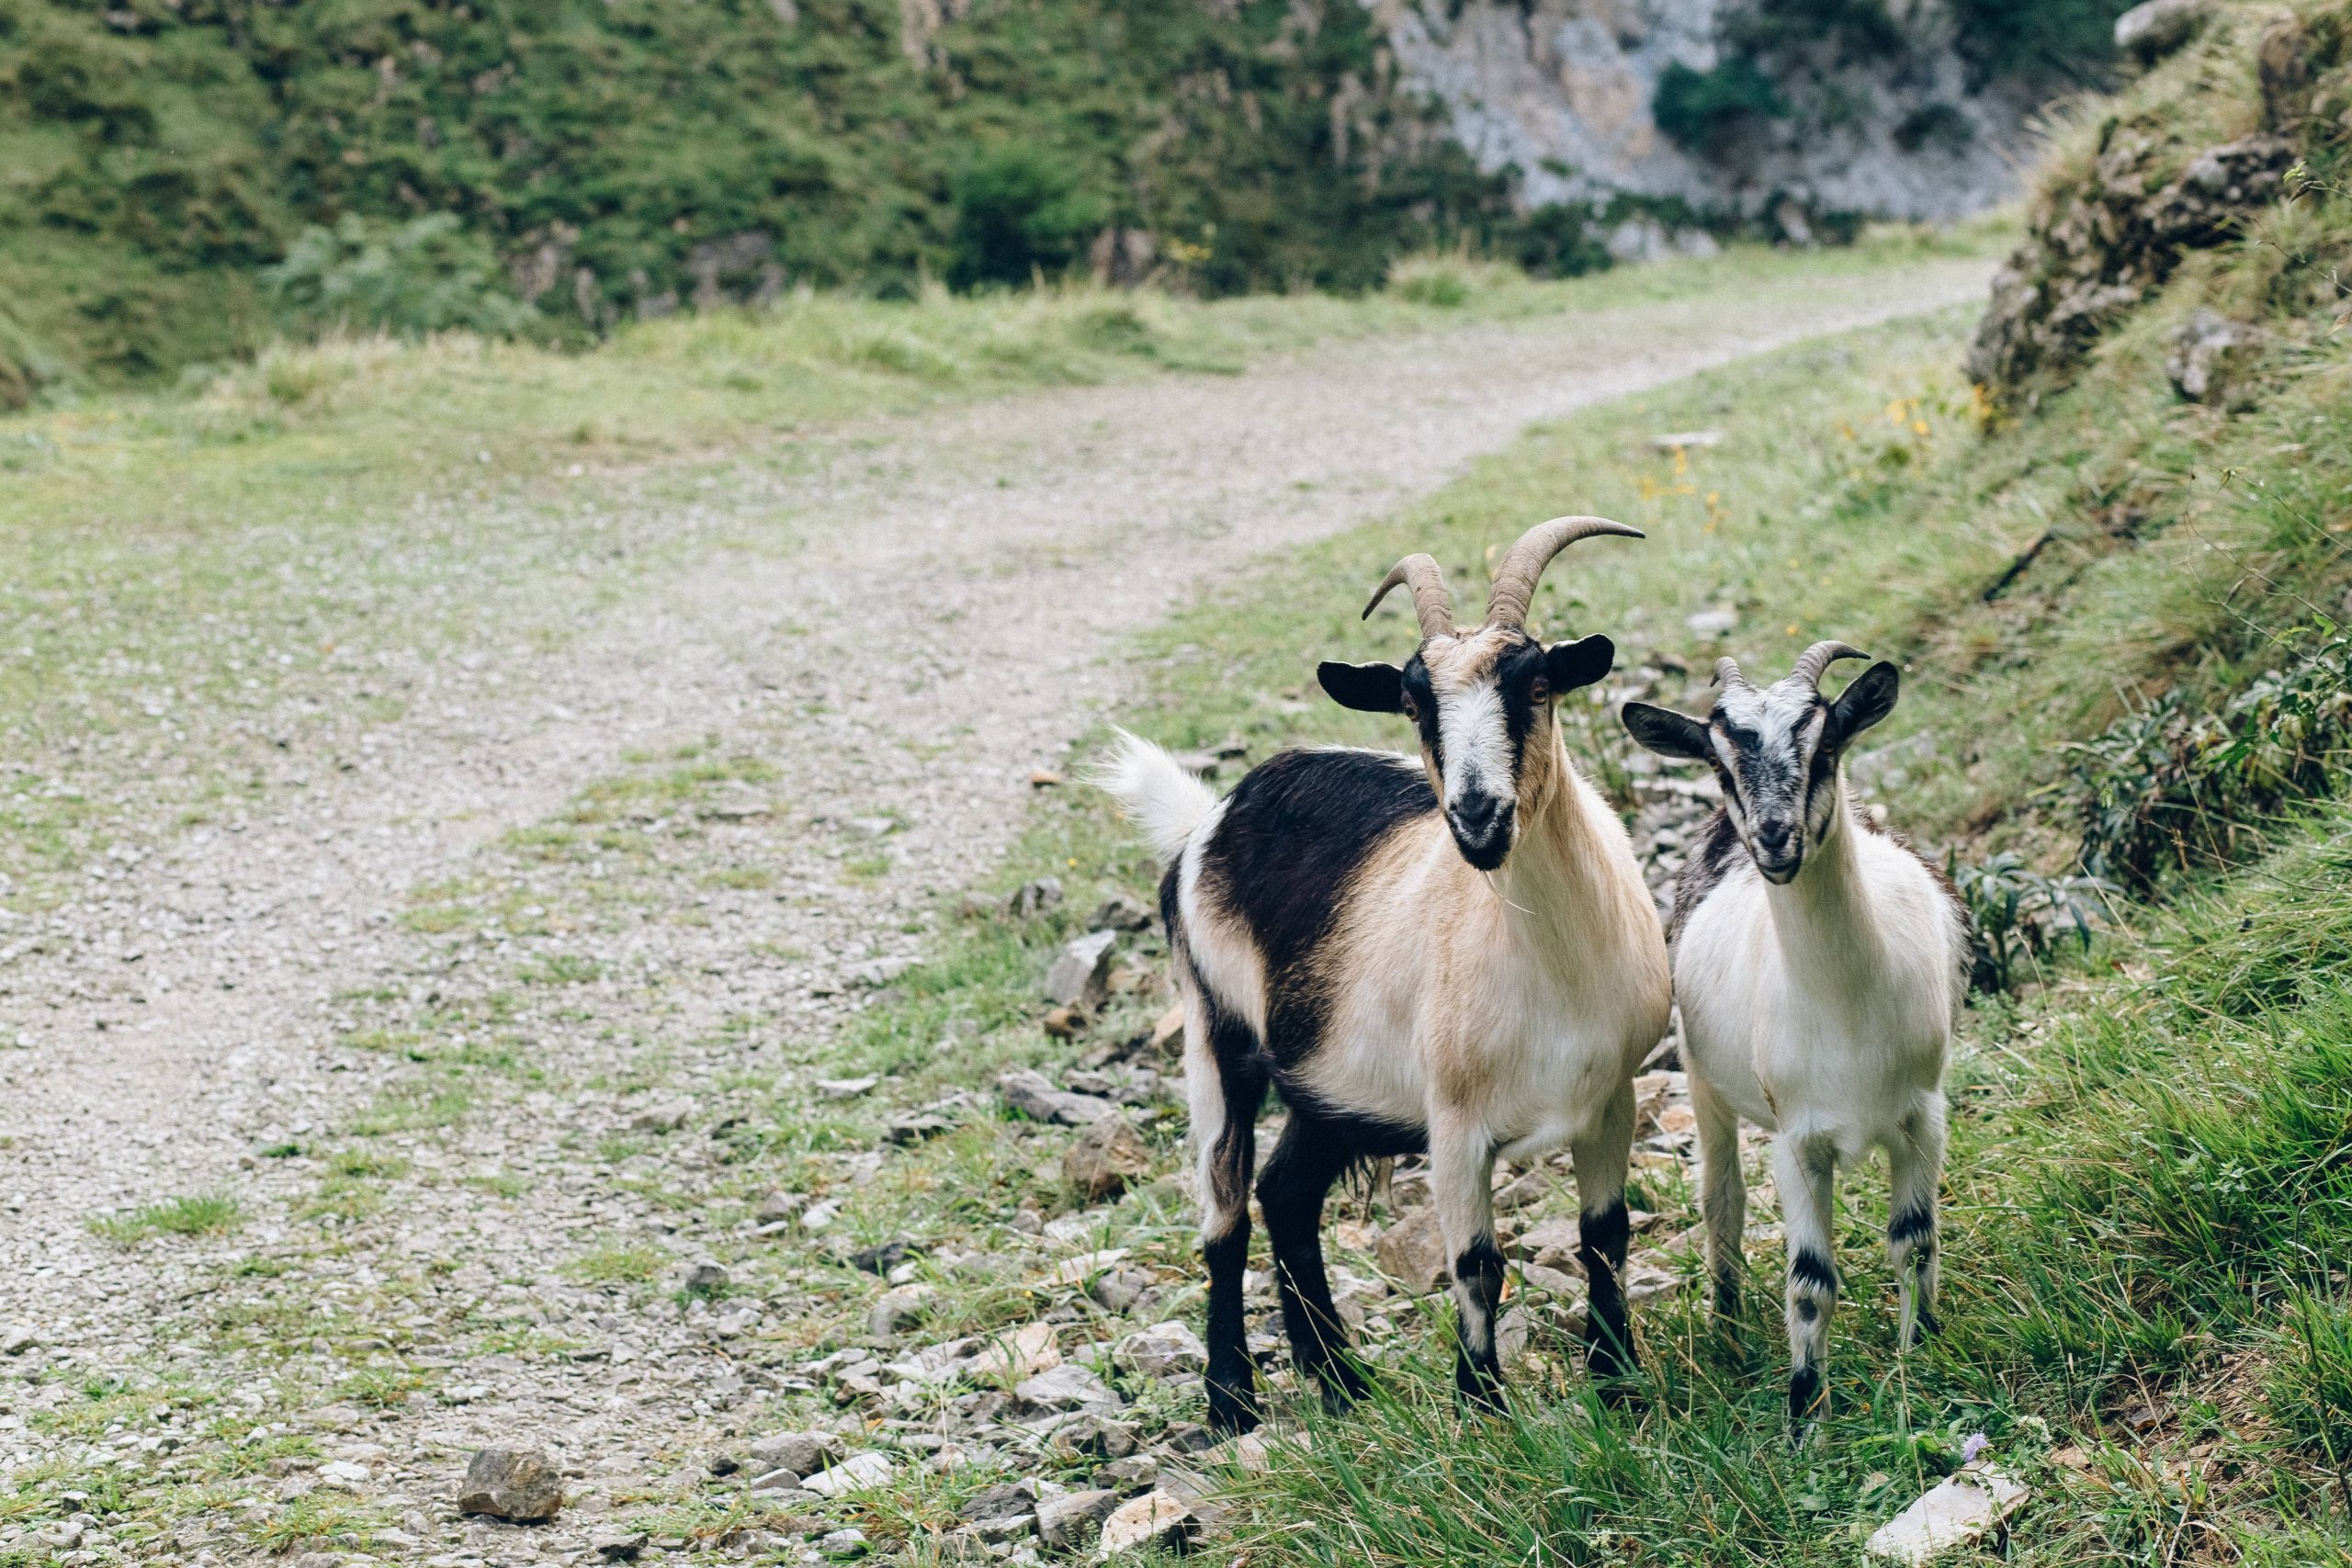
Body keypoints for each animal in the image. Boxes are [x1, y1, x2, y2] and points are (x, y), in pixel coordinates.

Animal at [1101, 522, 1674, 1429]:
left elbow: (1604, 1235)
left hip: (1333, 1080)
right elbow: (1476, 1261)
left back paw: (1340, 1379)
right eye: (1413, 702)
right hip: (1213, 1033)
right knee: (1225, 1211)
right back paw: (1232, 1401)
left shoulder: (1610, 1096)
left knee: (1285, 1192)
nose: (1477, 815)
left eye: (1537, 680)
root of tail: (1210, 819)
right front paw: (1482, 1407)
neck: (1547, 965)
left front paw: (1617, 1383)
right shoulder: (1455, 1119)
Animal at [1618, 644, 1966, 1429]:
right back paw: (1726, 1332)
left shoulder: (1923, 1113)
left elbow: (1915, 1241)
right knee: (1722, 1201)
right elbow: (1810, 1279)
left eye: (1825, 745)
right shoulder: (1796, 1139)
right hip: (1704, 1080)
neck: (1846, 1004)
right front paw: (1805, 1409)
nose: (1775, 837)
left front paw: (1921, 1355)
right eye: (1721, 766)